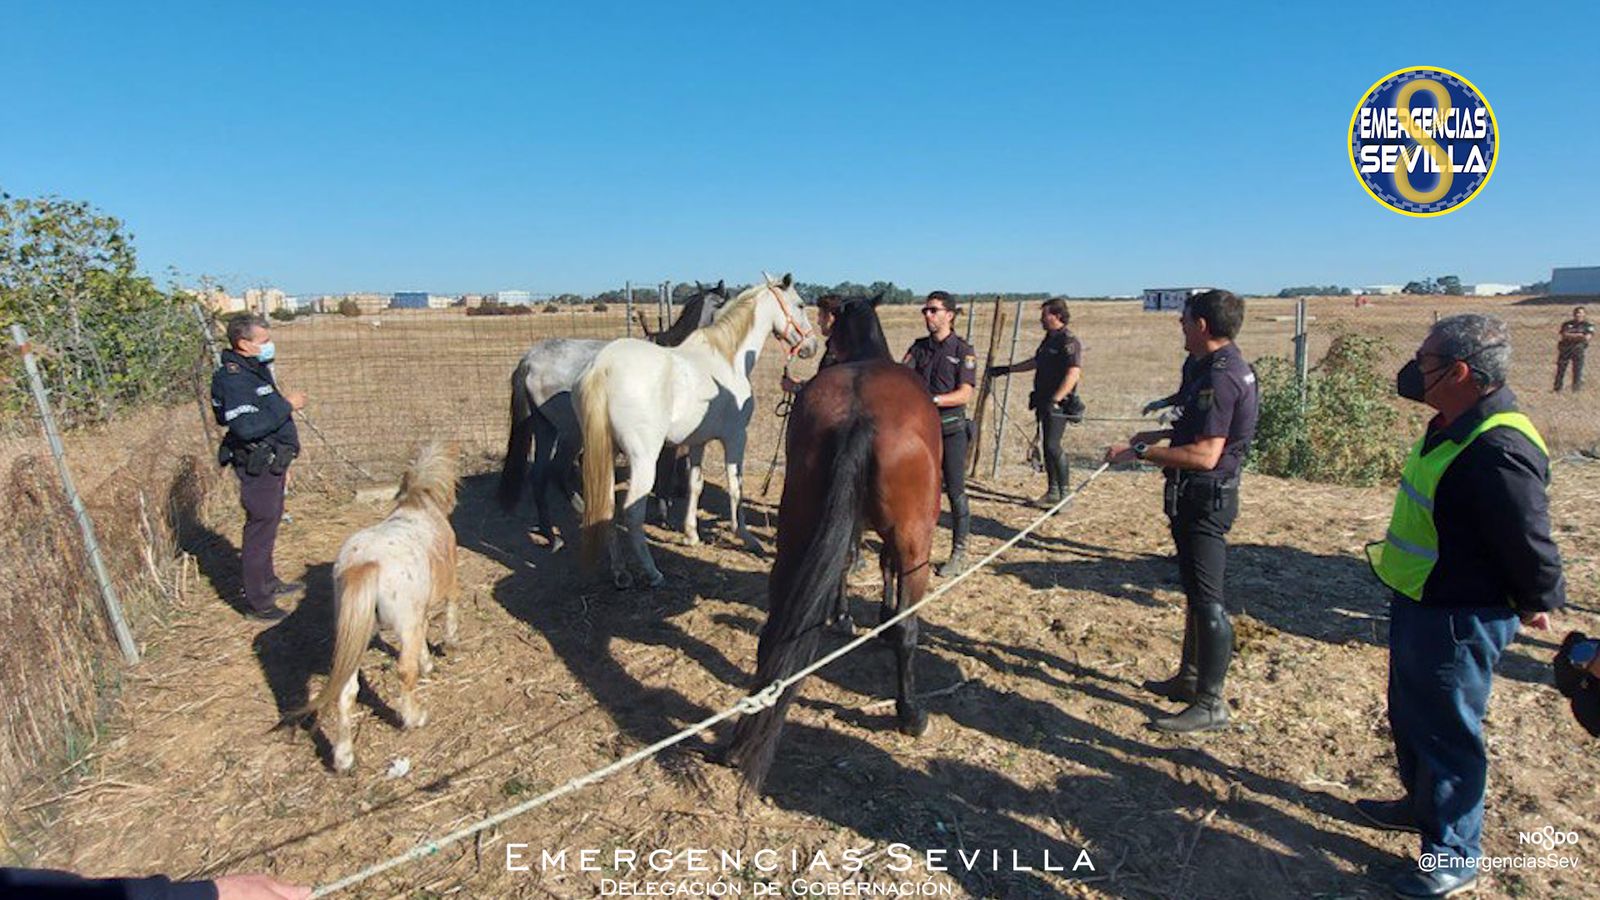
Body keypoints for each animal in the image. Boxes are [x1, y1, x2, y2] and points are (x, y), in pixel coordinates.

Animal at [287, 442, 460, 773]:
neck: (418, 506)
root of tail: (366, 563)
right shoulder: (440, 594)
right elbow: (448, 614)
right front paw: (448, 647)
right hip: (402, 627)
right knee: (404, 672)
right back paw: (414, 717)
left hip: (356, 640)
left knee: (346, 692)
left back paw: (343, 758)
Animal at [498, 282, 730, 551]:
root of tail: (530, 361)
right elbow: (665, 472)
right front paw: (665, 514)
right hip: (572, 433)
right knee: (558, 471)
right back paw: (583, 513)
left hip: (546, 428)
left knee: (538, 477)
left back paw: (551, 536)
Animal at [577, 273, 818, 588]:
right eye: (800, 304)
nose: (812, 346)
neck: (728, 358)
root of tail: (602, 368)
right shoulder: (736, 439)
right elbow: (735, 485)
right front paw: (747, 537)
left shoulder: (697, 443)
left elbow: (695, 485)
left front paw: (691, 535)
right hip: (643, 460)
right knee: (631, 513)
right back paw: (653, 573)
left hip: (605, 454)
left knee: (605, 508)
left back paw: (620, 572)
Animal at [722, 295, 941, 791]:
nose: (811, 357)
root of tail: (860, 415)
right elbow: (883, 568)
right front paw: (877, 615)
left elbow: (846, 562)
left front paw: (842, 615)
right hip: (917, 542)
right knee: (909, 628)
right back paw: (910, 713)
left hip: (795, 532)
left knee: (776, 626)